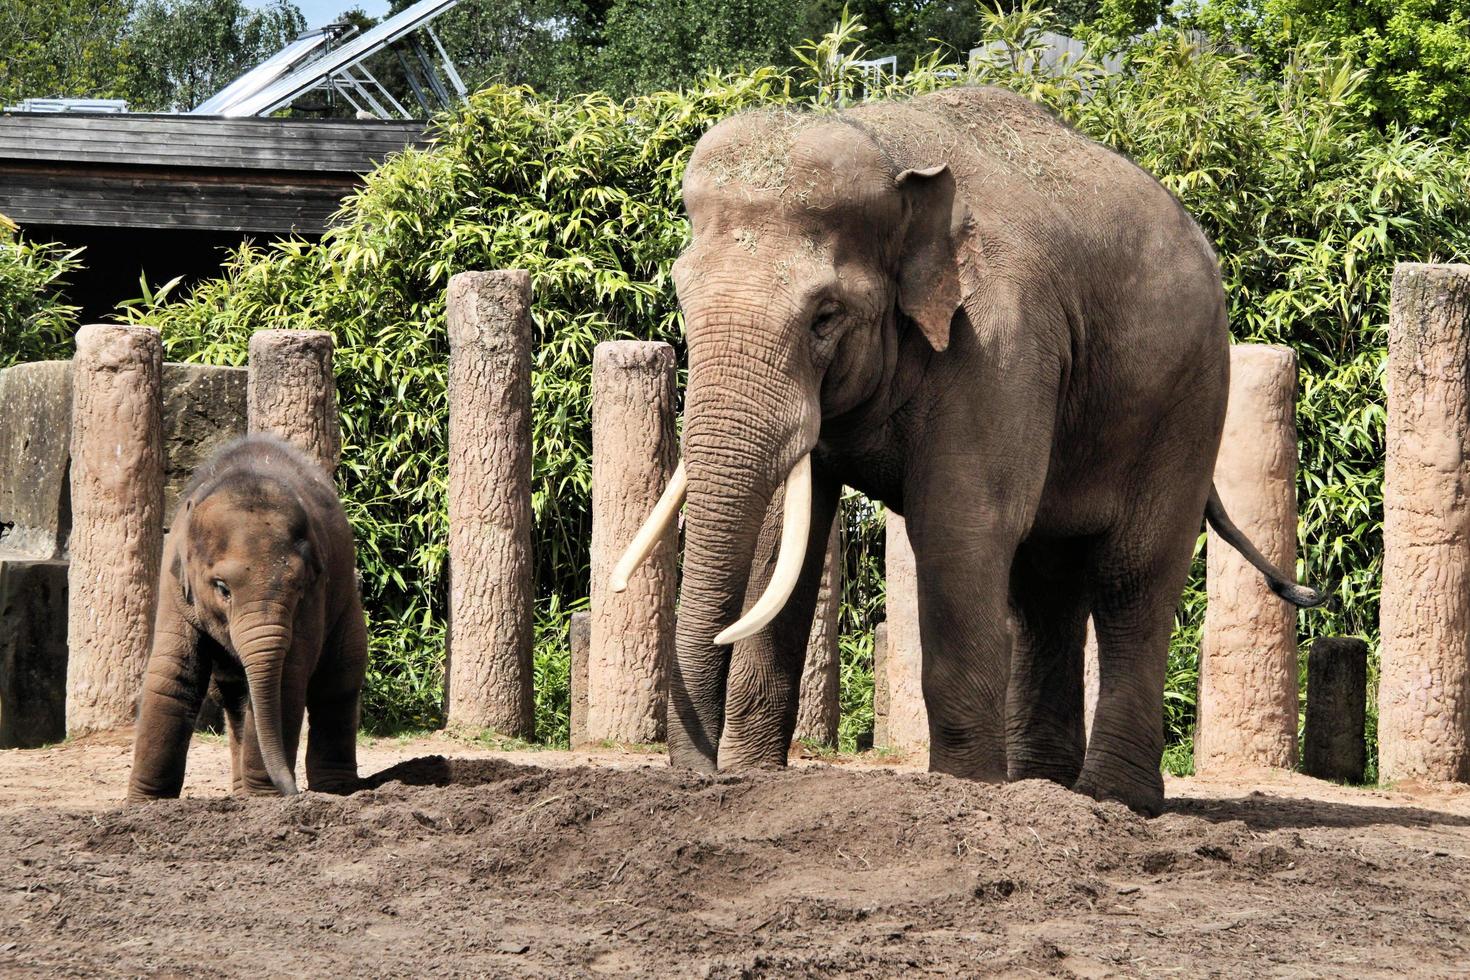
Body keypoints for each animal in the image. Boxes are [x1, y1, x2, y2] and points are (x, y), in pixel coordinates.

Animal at [130, 434, 366, 799]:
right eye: (222, 588)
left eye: (300, 587)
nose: (292, 790)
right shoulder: (175, 584)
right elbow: (174, 675)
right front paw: (144, 803)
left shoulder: (316, 596)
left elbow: (286, 679)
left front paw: (264, 799)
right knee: (233, 696)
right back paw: (242, 793)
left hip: (346, 605)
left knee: (337, 680)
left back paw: (335, 789)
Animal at [608, 88, 1323, 816]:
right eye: (682, 297)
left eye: (825, 317)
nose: (698, 778)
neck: (887, 153)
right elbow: (785, 539)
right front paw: (754, 775)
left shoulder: (999, 340)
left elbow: (961, 526)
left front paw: (963, 789)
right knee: (1045, 584)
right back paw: (1044, 785)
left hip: (1188, 402)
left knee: (1132, 576)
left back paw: (1113, 799)